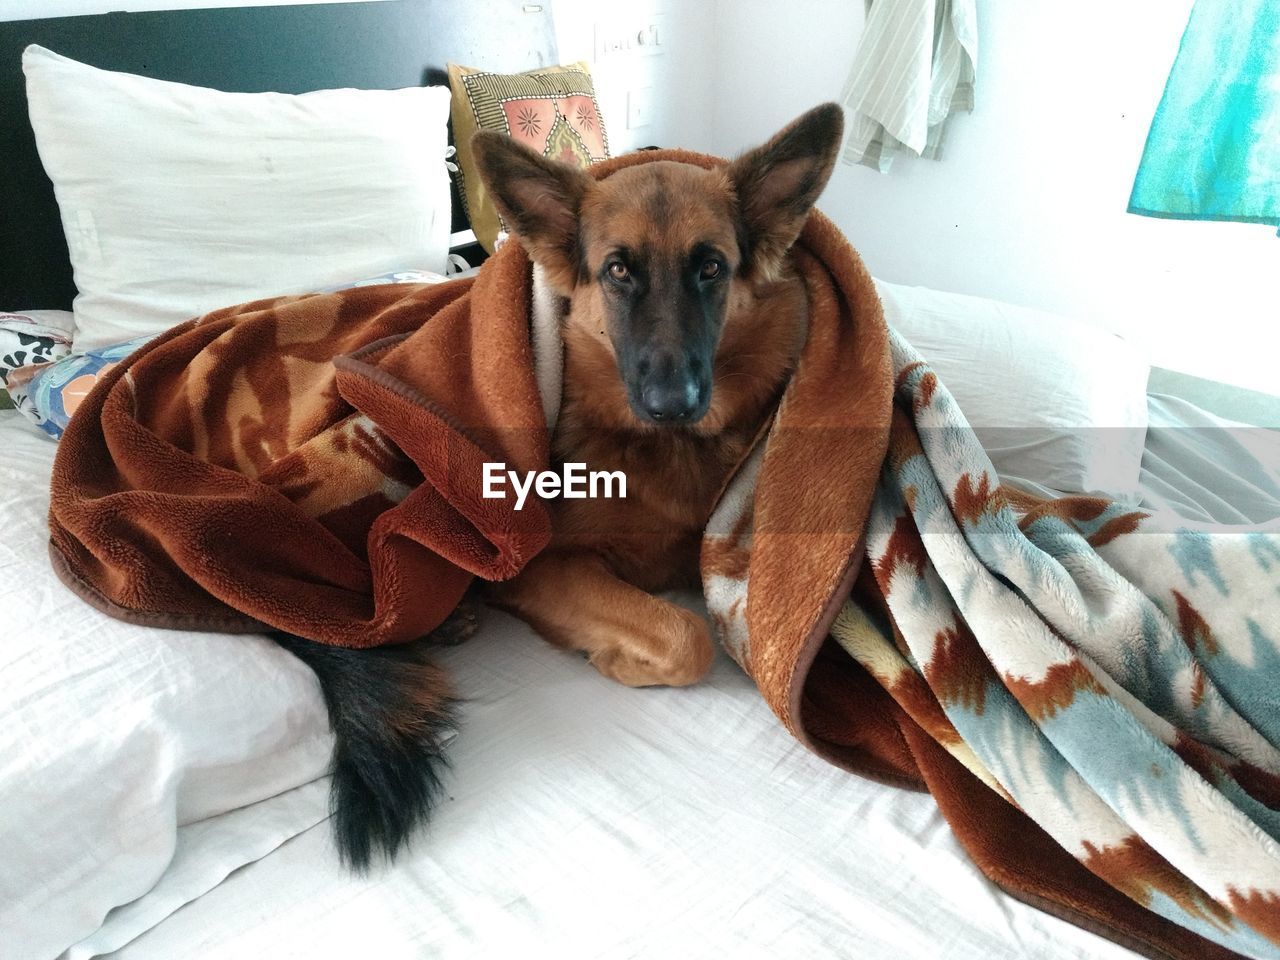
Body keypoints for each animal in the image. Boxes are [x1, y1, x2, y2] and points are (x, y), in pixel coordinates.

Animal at [281, 101, 844, 870]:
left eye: (711, 267)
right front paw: (621, 659)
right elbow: (687, 636)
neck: (657, 448)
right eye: (618, 271)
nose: (672, 402)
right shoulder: (539, 564)